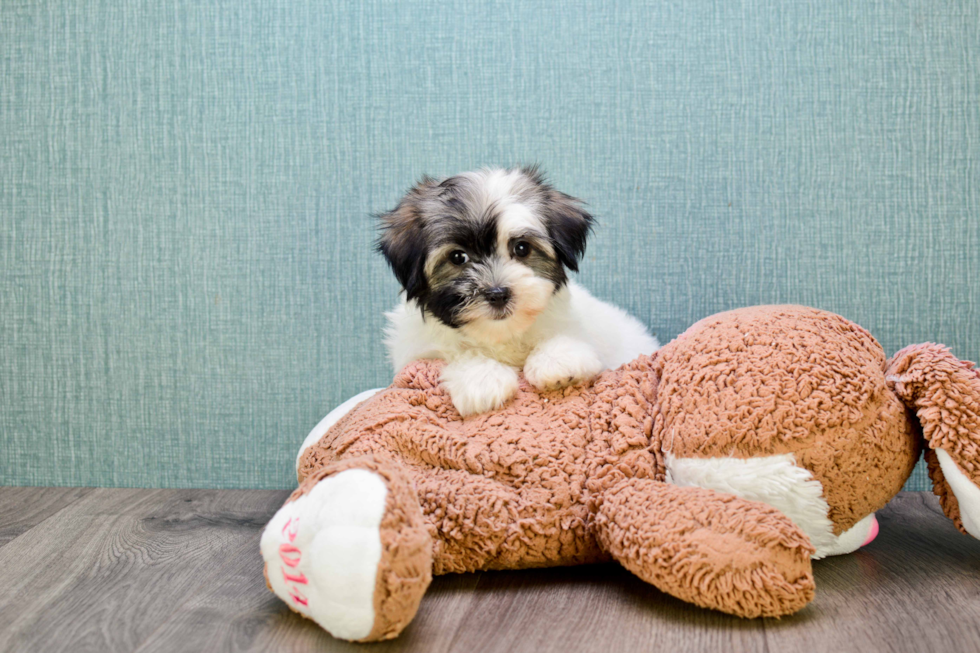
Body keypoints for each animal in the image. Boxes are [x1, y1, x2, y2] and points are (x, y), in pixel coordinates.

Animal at [376, 166, 660, 416]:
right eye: (458, 257)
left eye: (522, 248)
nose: (498, 293)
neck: (502, 335)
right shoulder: (416, 353)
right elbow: (456, 355)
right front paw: (482, 380)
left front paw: (558, 362)